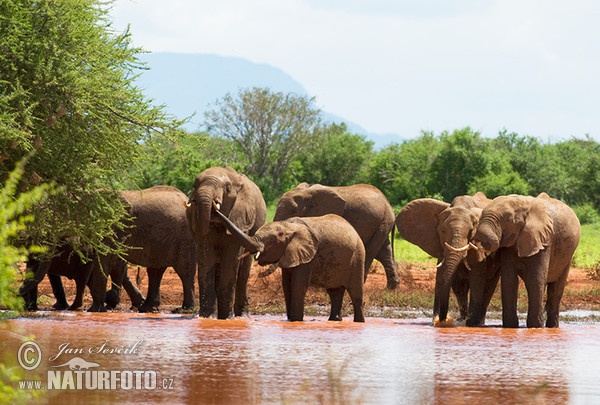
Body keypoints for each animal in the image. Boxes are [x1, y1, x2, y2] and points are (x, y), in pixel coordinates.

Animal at [185, 166, 264, 318]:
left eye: (227, 189)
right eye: (195, 186)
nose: (214, 209)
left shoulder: (240, 218)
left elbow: (230, 259)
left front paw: (226, 318)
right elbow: (207, 257)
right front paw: (207, 317)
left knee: (243, 273)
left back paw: (241, 316)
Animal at [213, 208, 368, 322]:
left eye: (271, 242)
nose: (215, 207)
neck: (288, 226)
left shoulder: (310, 256)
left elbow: (298, 285)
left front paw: (296, 321)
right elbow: (287, 285)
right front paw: (290, 321)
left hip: (358, 257)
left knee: (356, 293)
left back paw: (359, 322)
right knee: (335, 293)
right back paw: (334, 321)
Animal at [396, 192, 500, 326]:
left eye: (471, 231)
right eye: (443, 230)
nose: (439, 320)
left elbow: (477, 279)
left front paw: (470, 323)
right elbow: (449, 280)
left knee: (489, 286)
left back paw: (479, 323)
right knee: (460, 287)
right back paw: (462, 319)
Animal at [468, 193, 580, 328]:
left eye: (508, 219)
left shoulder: (545, 240)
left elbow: (534, 279)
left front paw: (535, 327)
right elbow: (509, 279)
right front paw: (511, 326)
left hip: (568, 256)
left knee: (556, 288)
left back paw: (551, 327)